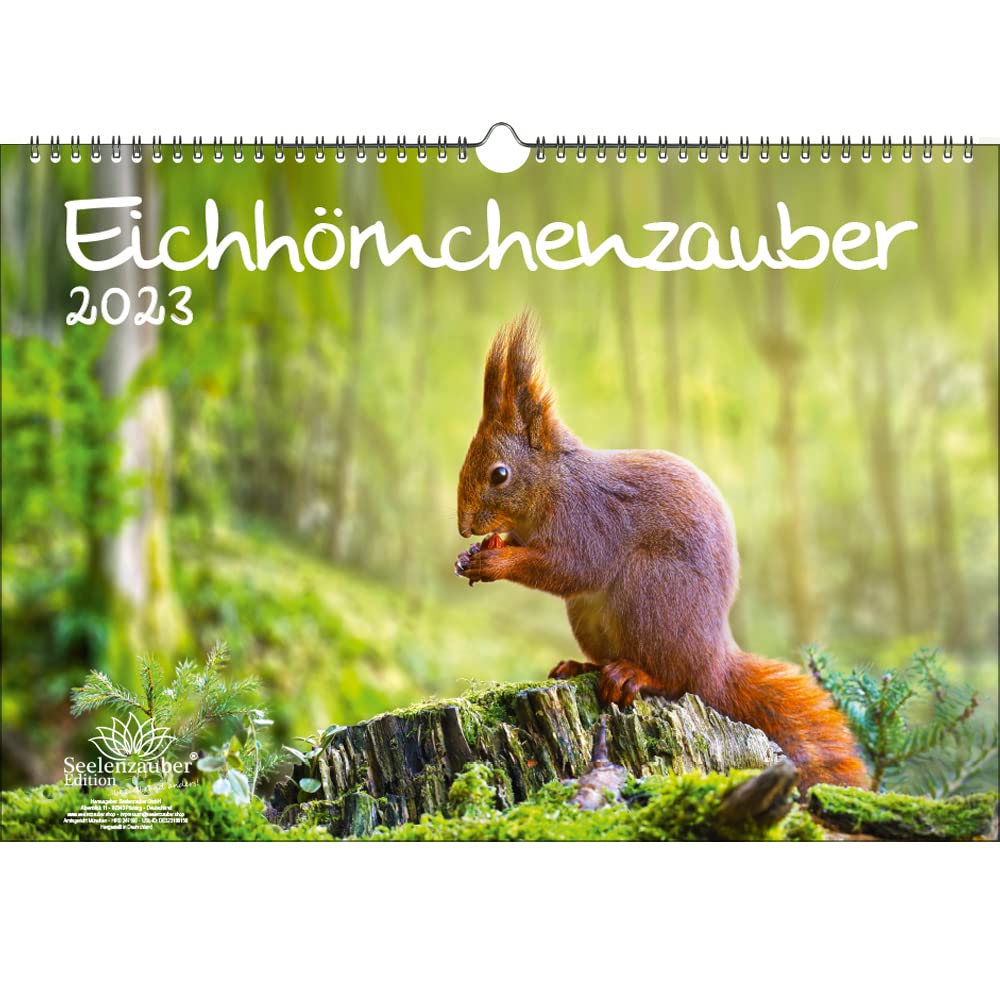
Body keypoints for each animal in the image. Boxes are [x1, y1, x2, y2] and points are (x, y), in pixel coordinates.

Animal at [455, 312, 869, 791]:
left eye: (499, 474)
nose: (463, 526)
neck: (554, 484)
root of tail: (714, 662)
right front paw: (470, 557)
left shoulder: (591, 520)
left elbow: (572, 569)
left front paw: (495, 561)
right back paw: (581, 667)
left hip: (651, 591)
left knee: (674, 680)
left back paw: (633, 674)